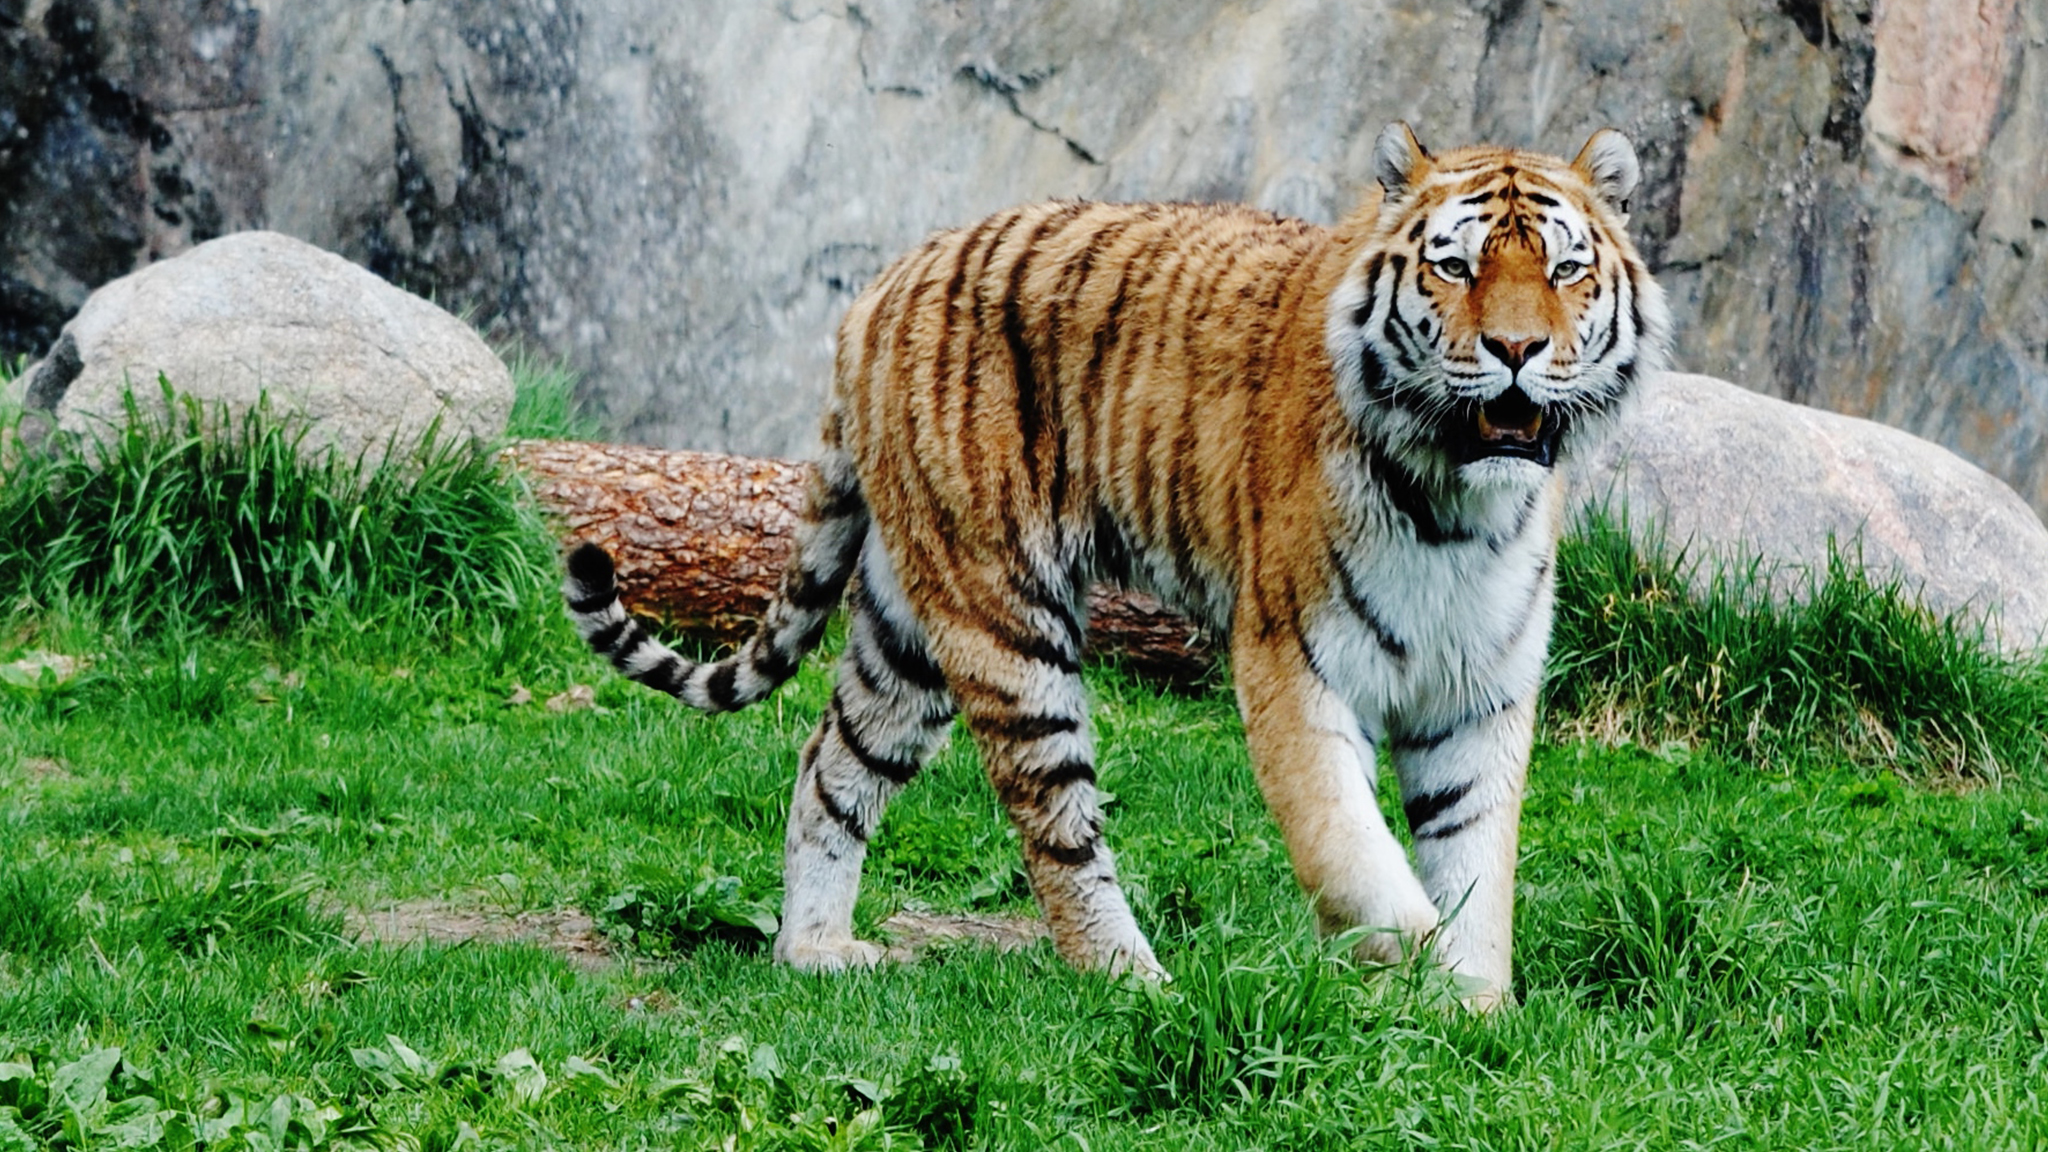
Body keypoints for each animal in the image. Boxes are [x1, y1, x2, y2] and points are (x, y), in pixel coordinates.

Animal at [564, 123, 1670, 1008]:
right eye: (1454, 268)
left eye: (1564, 272)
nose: (1517, 351)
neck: (1459, 501)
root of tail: (884, 284)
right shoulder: (1291, 667)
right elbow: (1357, 861)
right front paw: (1411, 978)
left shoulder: (1478, 693)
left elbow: (1475, 868)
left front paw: (1475, 1013)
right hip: (1002, 617)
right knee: (1055, 830)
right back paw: (1135, 981)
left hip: (905, 629)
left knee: (829, 763)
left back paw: (816, 949)